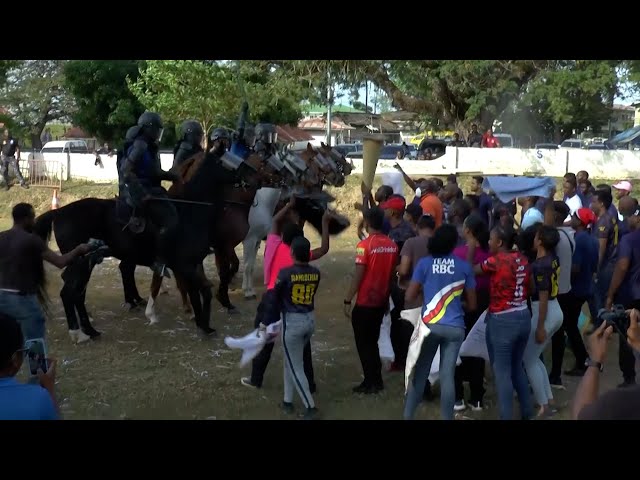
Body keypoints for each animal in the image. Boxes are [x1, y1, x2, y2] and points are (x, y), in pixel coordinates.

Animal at [33, 150, 268, 342]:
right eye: (224, 161)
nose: (253, 177)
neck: (191, 213)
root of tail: (59, 212)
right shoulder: (186, 266)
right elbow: (200, 290)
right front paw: (203, 323)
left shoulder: (193, 265)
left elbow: (201, 292)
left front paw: (203, 324)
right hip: (81, 264)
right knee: (69, 293)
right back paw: (79, 333)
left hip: (85, 264)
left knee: (78, 294)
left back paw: (91, 330)